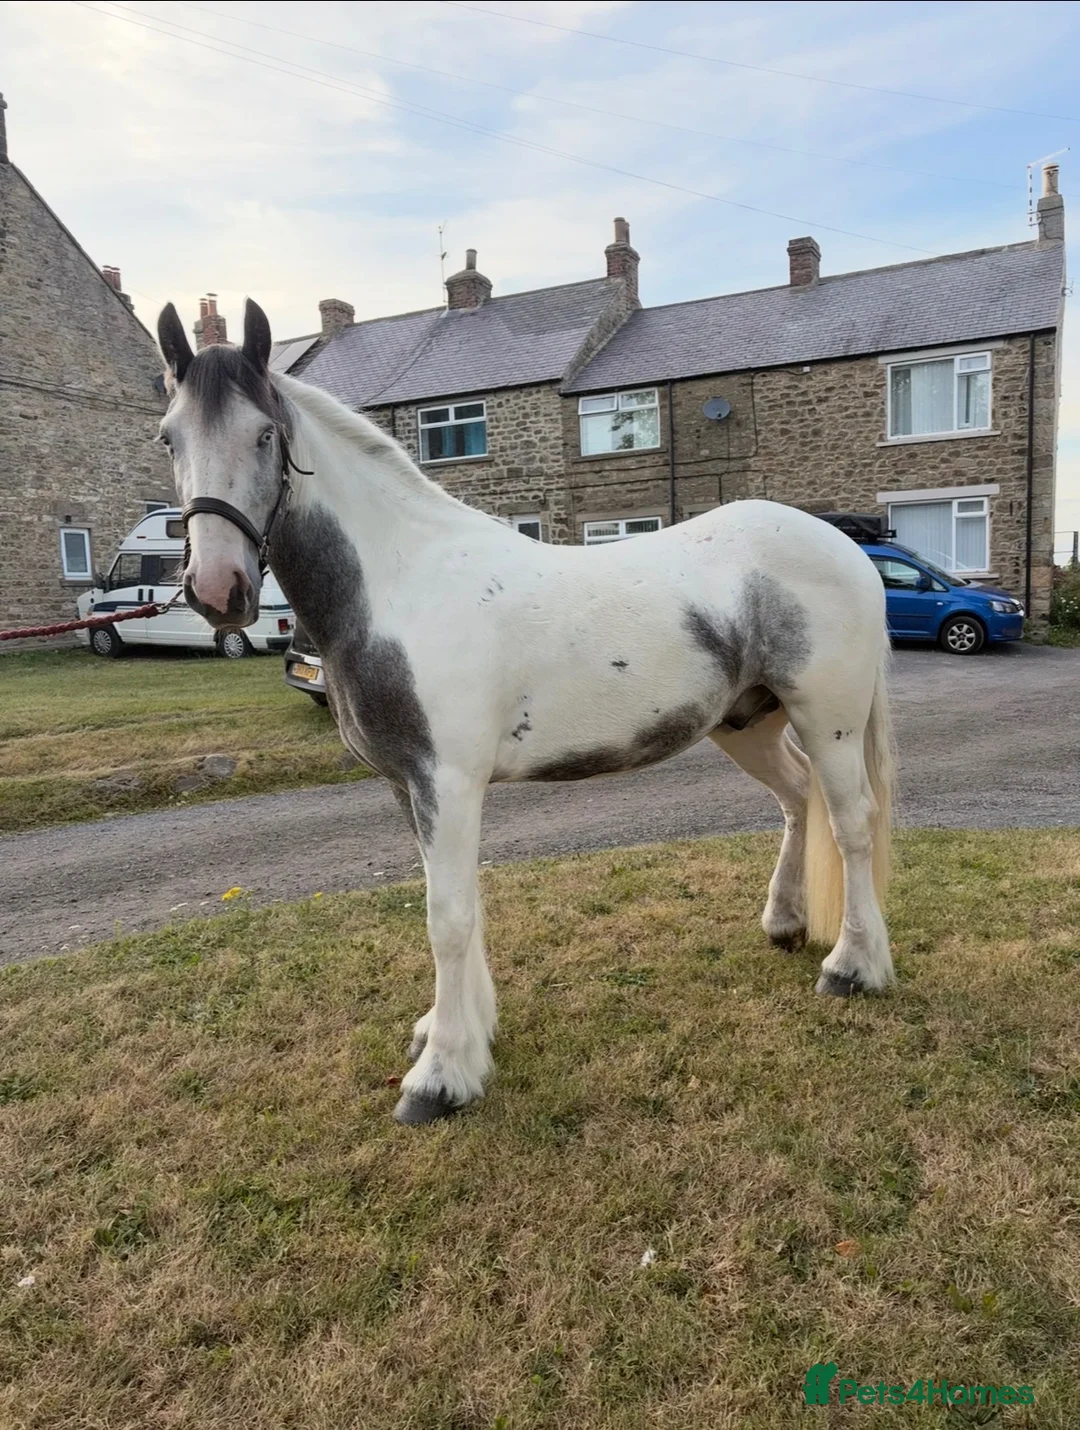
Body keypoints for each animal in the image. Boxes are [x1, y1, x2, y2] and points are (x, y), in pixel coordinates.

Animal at [156, 298, 894, 1125]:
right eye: (168, 437)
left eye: (264, 433)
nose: (218, 590)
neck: (402, 582)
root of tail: (846, 547)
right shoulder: (410, 785)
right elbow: (456, 905)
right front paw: (458, 1032)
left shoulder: (446, 782)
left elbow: (447, 917)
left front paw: (440, 1078)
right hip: (749, 724)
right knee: (798, 801)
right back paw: (786, 923)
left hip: (828, 717)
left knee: (852, 824)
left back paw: (853, 967)